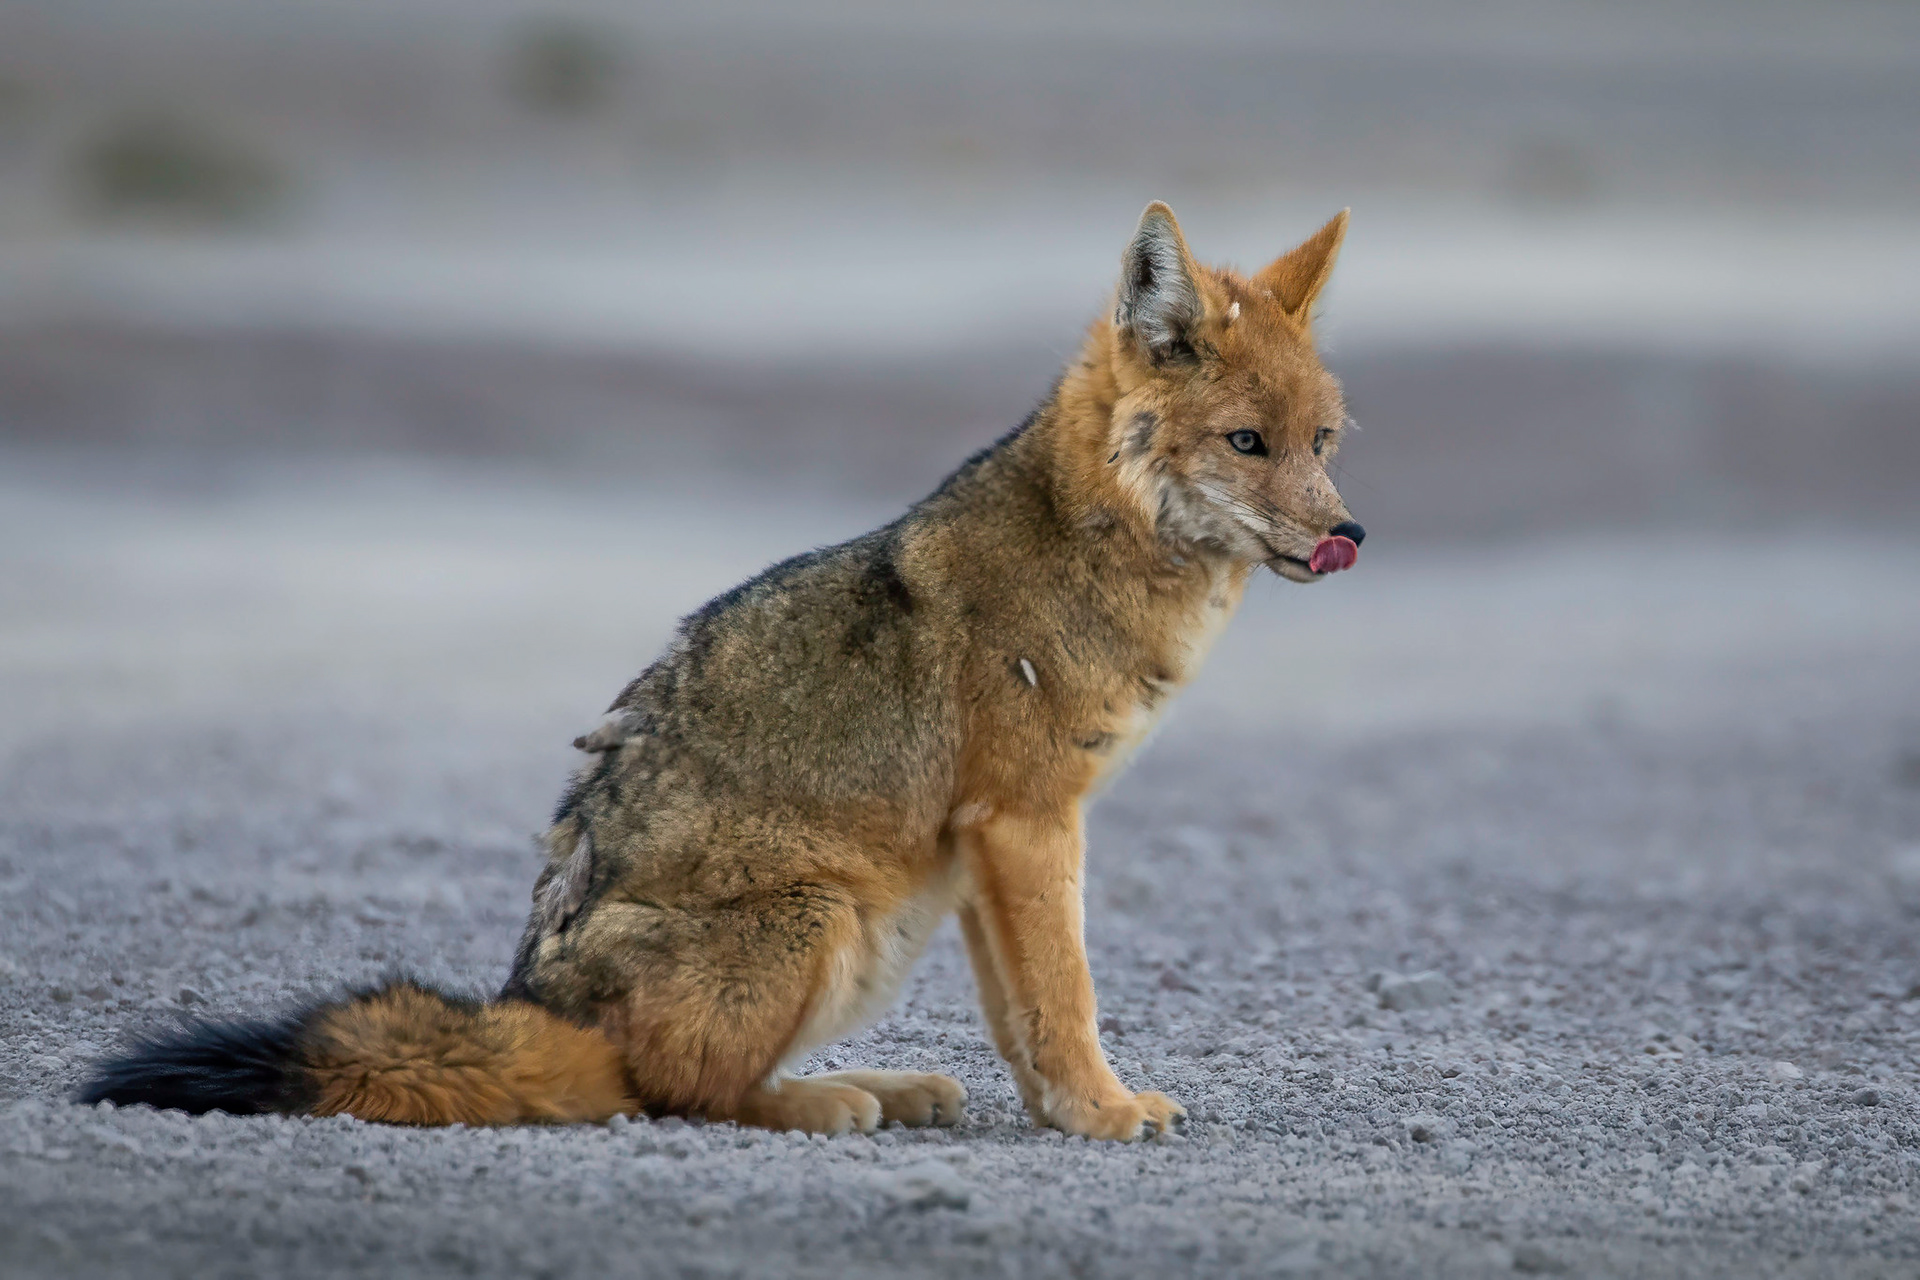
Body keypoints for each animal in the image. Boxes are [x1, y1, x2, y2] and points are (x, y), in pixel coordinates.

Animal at [81, 202, 1365, 1141]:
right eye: (1247, 443)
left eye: (1324, 441)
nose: (1348, 533)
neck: (1094, 544)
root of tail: (535, 999)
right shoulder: (1027, 822)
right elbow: (1065, 994)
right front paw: (1103, 1110)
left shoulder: (992, 846)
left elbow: (1017, 1010)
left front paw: (1065, 1112)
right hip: (829, 912)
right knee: (674, 1093)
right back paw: (835, 1097)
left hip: (894, 914)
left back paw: (888, 1085)